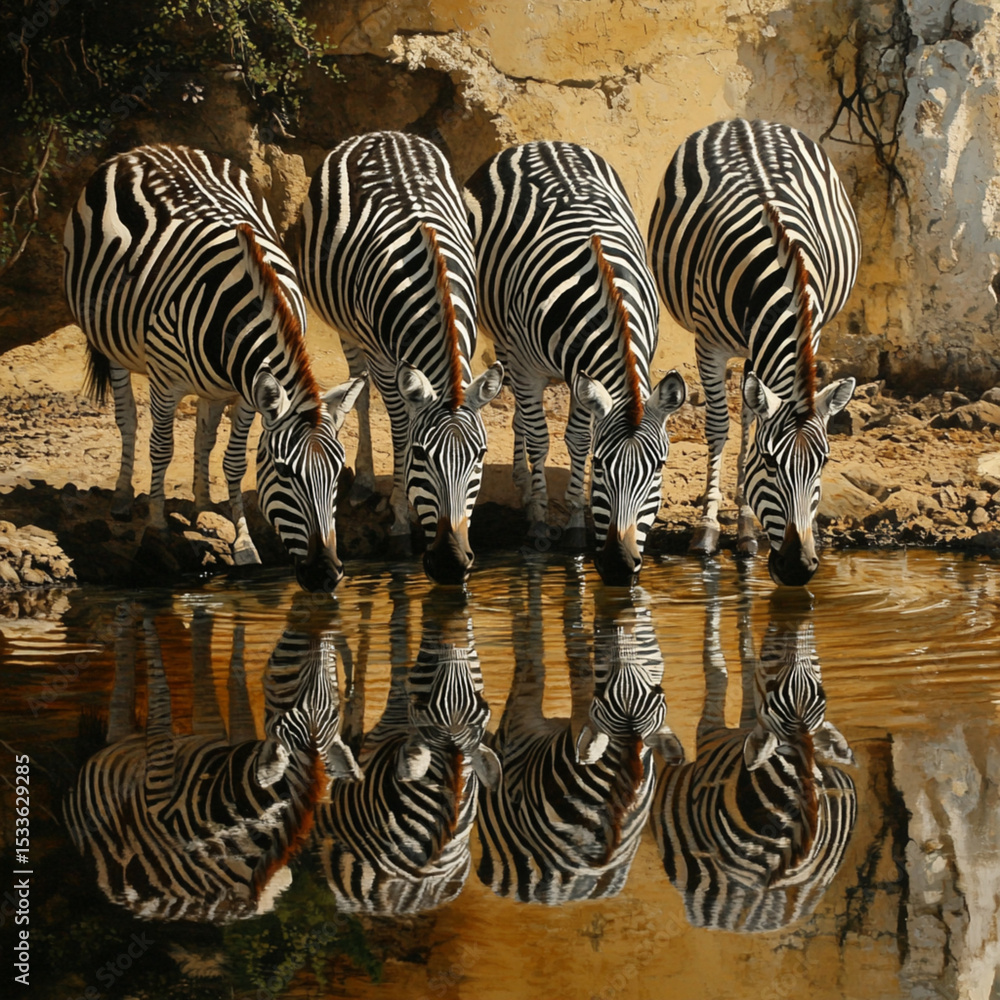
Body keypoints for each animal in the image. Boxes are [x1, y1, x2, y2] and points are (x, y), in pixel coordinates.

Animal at [63, 144, 365, 591]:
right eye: (284, 473)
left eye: (337, 476)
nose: (327, 575)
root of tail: (144, 149)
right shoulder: (166, 382)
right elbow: (162, 448)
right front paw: (157, 529)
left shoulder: (247, 392)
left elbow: (232, 460)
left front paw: (244, 543)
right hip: (111, 342)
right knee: (128, 419)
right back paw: (121, 498)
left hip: (213, 382)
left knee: (204, 433)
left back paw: (203, 502)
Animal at [63, 602, 359, 923]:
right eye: (335, 696)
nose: (318, 622)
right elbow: (230, 677)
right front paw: (221, 620)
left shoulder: (158, 788)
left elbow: (163, 693)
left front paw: (150, 620)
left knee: (124, 700)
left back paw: (128, 619)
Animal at [299, 131, 504, 585]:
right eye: (422, 456)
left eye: (481, 456)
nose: (450, 563)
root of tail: (381, 134)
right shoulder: (382, 356)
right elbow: (398, 426)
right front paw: (399, 524)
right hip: (348, 327)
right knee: (358, 388)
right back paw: (363, 480)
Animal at [464, 141, 687, 586]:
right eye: (601, 467)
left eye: (659, 468)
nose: (618, 565)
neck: (607, 293)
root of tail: (538, 144)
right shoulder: (529, 367)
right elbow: (540, 439)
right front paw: (538, 522)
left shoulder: (587, 374)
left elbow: (578, 438)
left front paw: (576, 527)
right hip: (504, 337)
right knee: (521, 415)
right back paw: (524, 486)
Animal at [648, 119, 860, 586]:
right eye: (769, 461)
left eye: (824, 463)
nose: (798, 567)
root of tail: (747, 122)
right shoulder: (708, 344)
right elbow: (717, 429)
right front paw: (707, 529)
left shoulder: (812, 332)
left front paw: (749, 525)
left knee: (749, 411)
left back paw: (746, 525)